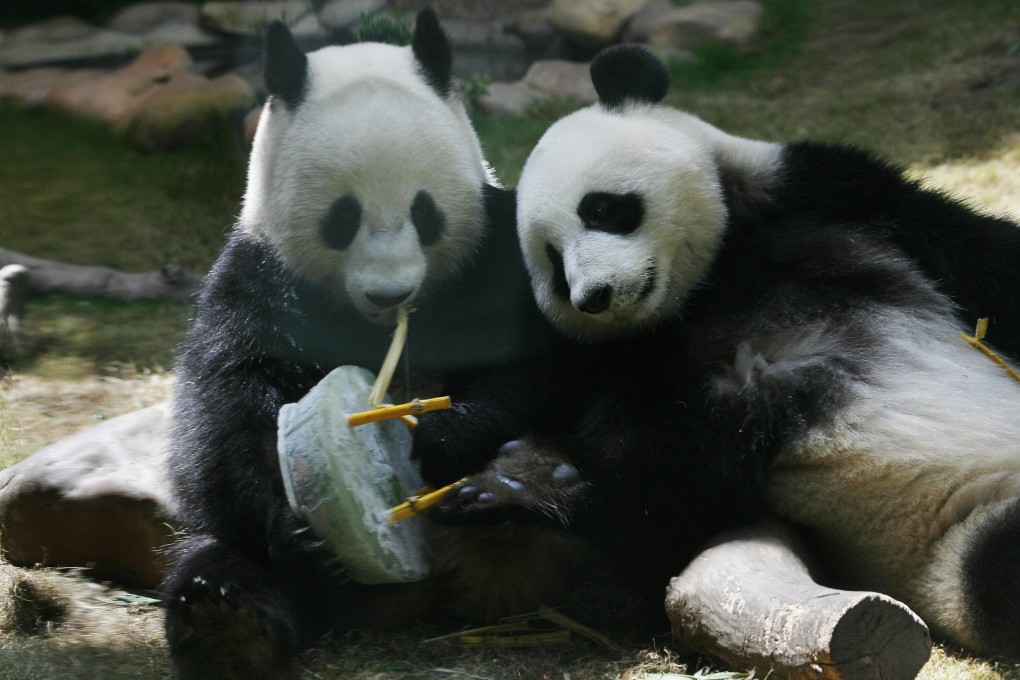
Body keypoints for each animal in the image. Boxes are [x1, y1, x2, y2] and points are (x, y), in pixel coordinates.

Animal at [161, 11, 557, 679]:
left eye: (425, 212)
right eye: (342, 217)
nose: (388, 292)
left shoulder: (495, 254)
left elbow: (529, 364)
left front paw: (444, 436)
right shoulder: (261, 282)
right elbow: (223, 416)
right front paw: (293, 531)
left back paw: (516, 492)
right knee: (214, 563)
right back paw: (229, 624)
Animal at [421, 44, 1020, 659]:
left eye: (601, 209)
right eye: (553, 262)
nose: (593, 297)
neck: (709, 282)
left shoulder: (826, 195)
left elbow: (981, 256)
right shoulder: (655, 368)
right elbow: (663, 485)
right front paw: (512, 473)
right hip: (952, 535)